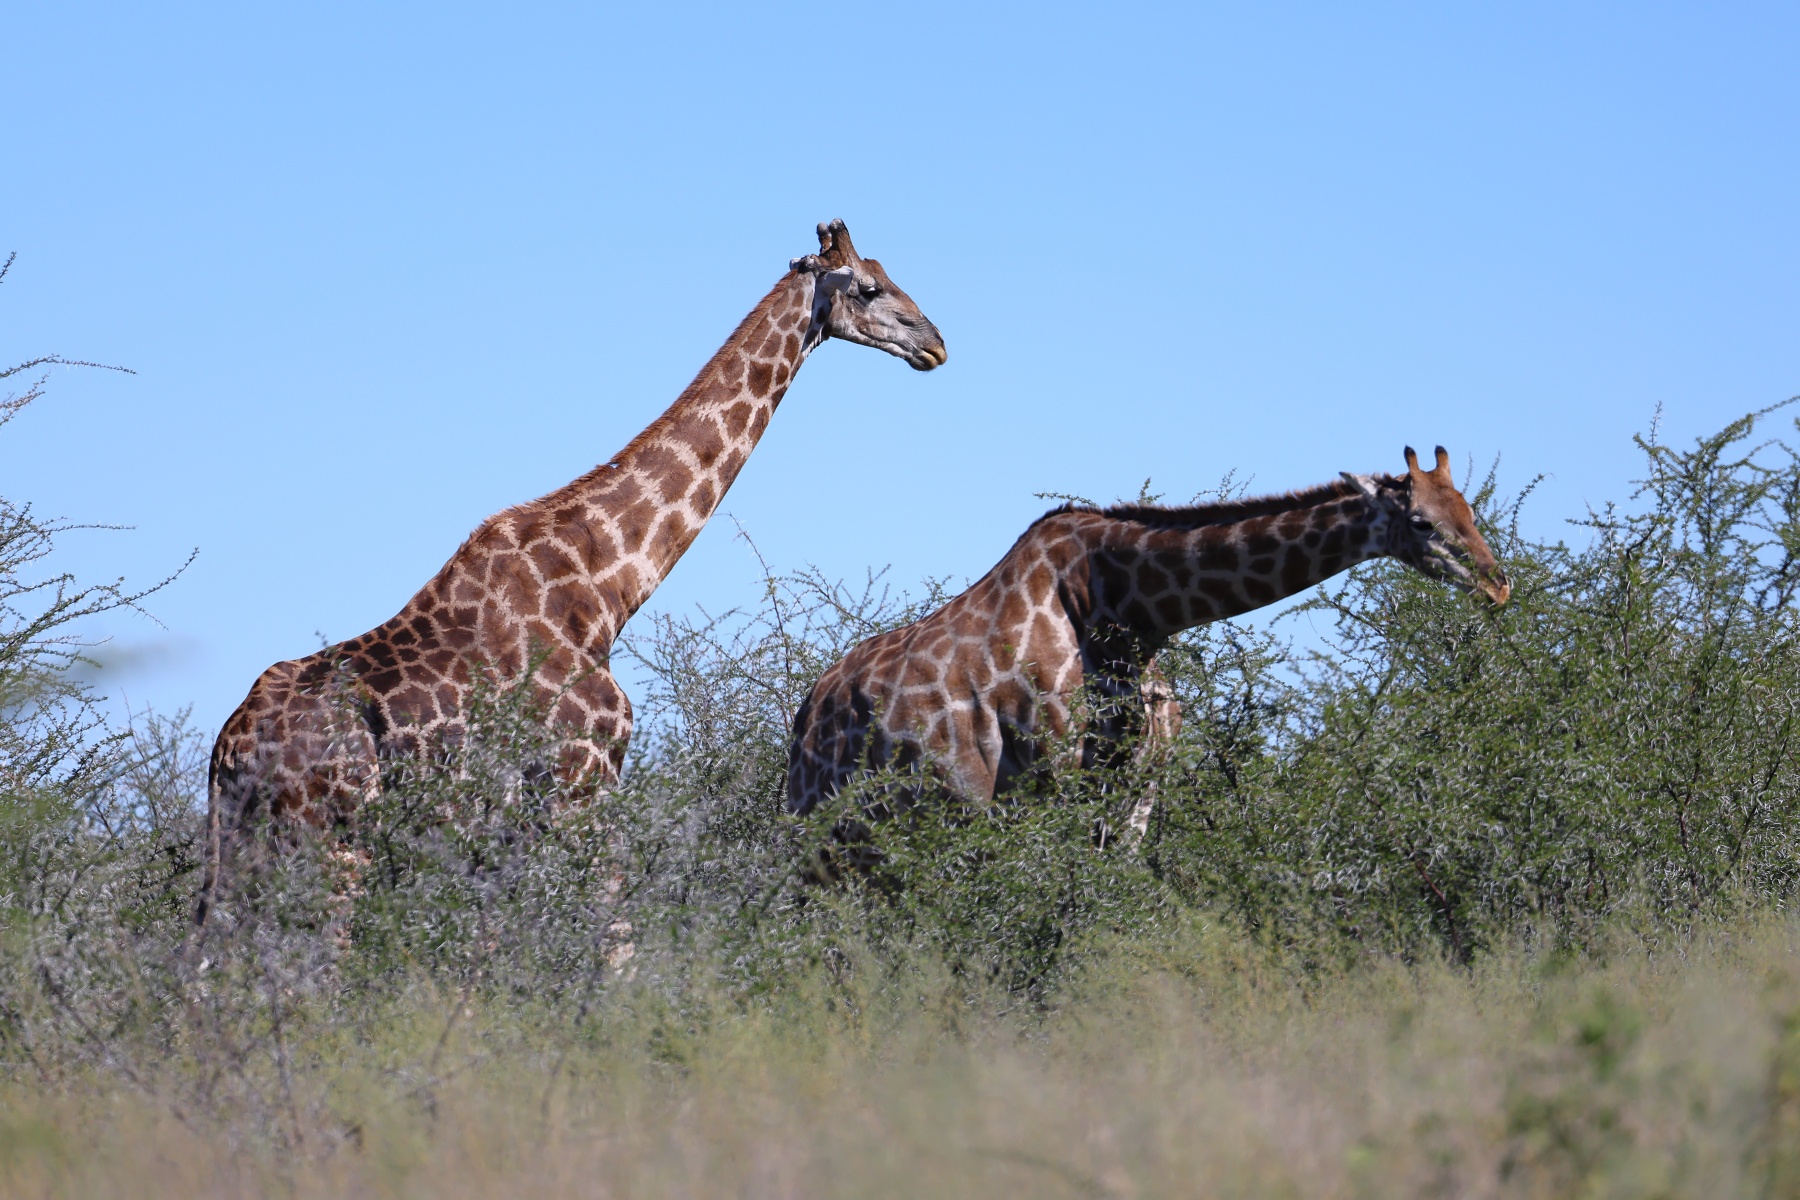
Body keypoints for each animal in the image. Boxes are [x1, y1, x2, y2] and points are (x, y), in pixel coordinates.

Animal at [203, 219, 946, 920]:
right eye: (869, 287)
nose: (936, 342)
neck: (607, 582)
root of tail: (225, 751)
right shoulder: (583, 773)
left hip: (245, 849)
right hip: (331, 839)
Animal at [787, 446, 1509, 825]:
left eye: (1471, 511)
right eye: (1420, 522)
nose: (1499, 585)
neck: (1127, 612)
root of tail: (807, 710)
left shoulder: (1137, 788)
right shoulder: (1046, 777)